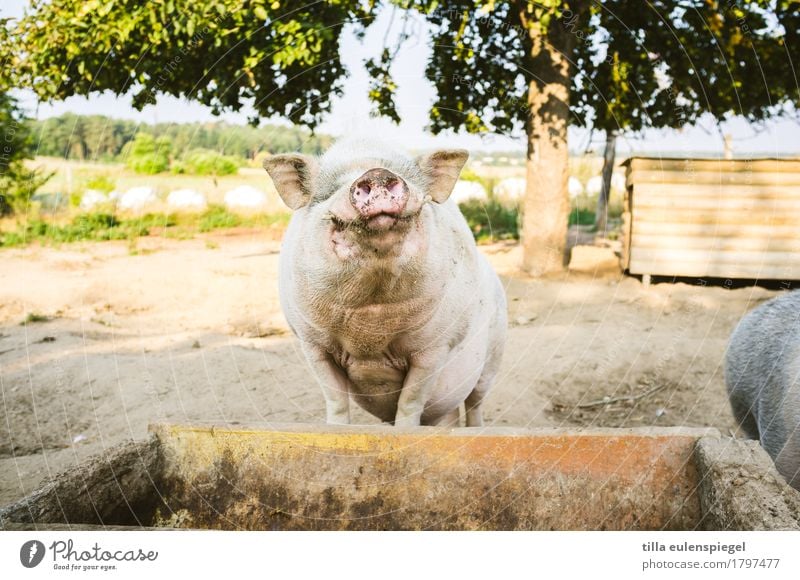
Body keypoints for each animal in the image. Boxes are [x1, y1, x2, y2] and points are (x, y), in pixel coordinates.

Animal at [262, 138, 506, 428]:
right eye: (332, 187)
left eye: (407, 177)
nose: (377, 173)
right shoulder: (312, 344)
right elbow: (335, 399)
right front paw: (337, 429)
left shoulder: (434, 347)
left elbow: (410, 402)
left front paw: (405, 431)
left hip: (493, 358)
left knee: (475, 403)